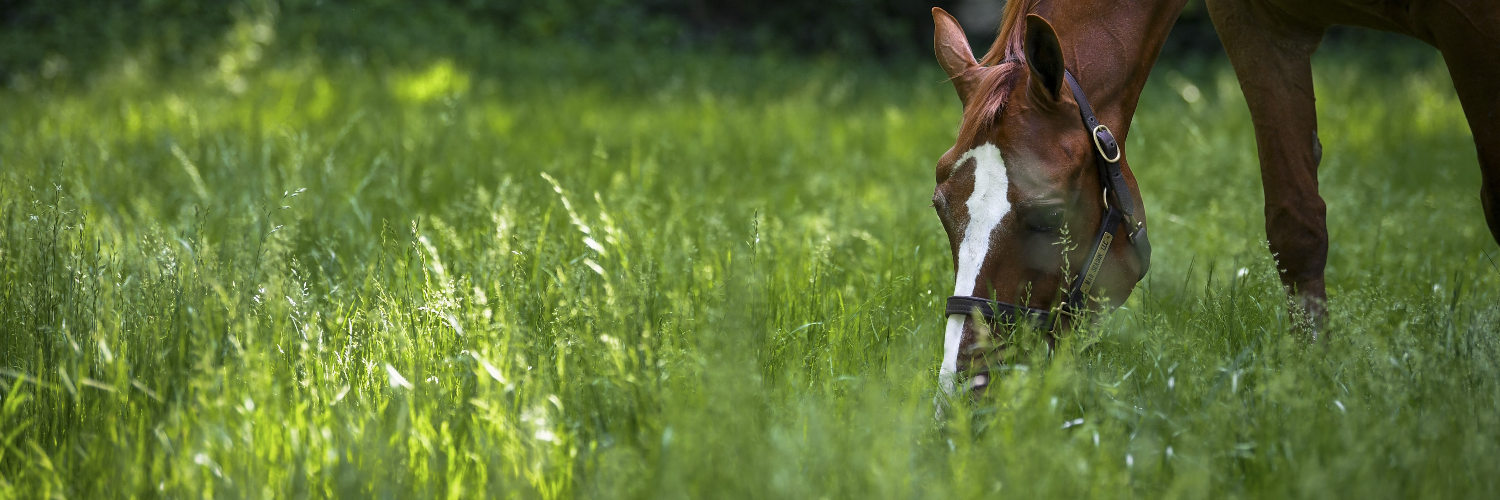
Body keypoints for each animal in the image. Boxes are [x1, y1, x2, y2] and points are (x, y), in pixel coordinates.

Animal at [930, 0, 1494, 396]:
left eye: (1049, 215)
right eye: (940, 206)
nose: (962, 392)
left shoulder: (1471, 24)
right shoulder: (1259, 28)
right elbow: (1296, 228)